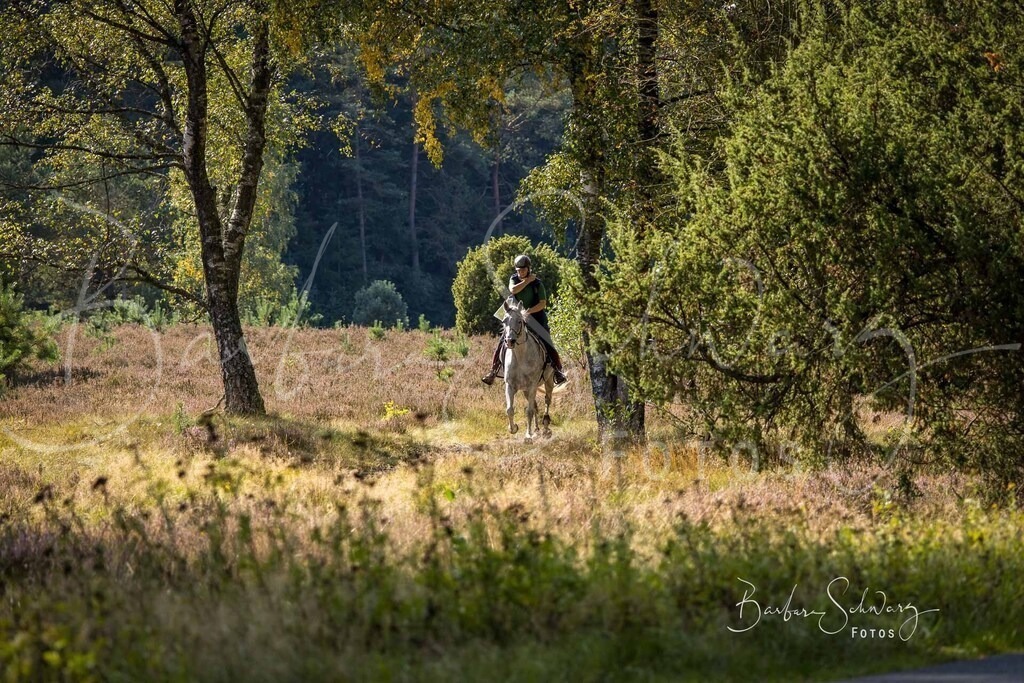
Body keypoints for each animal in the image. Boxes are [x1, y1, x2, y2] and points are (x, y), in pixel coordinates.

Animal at [501, 298, 554, 441]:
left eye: (520, 321)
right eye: (504, 321)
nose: (510, 341)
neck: (520, 356)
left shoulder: (532, 385)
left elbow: (528, 411)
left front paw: (528, 436)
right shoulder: (510, 385)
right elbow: (510, 409)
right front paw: (513, 428)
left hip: (548, 381)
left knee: (547, 400)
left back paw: (545, 427)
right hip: (526, 390)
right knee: (535, 405)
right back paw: (536, 429)